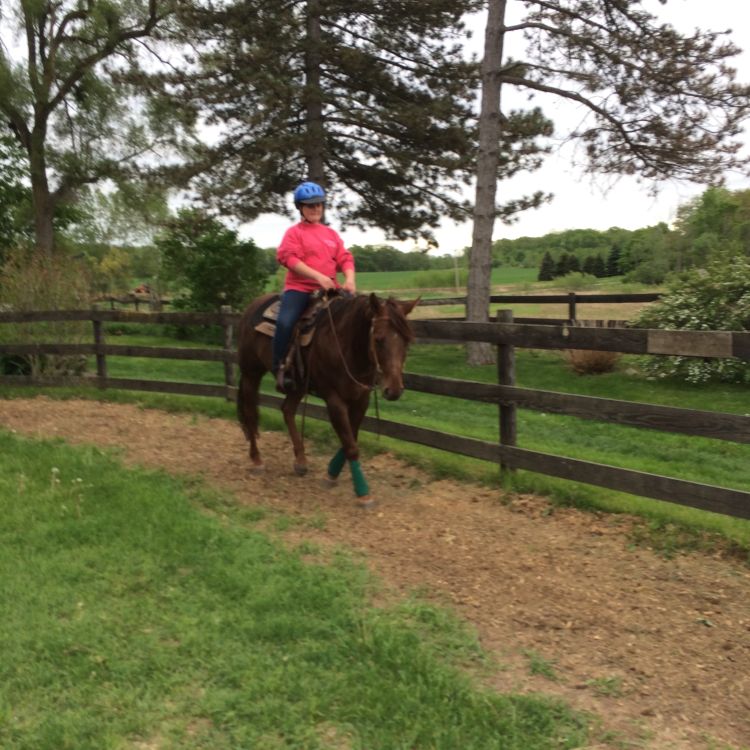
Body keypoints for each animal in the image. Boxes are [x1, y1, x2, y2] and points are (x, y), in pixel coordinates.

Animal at [238, 290, 420, 508]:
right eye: (378, 339)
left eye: (407, 341)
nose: (394, 391)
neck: (345, 344)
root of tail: (251, 307)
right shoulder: (334, 400)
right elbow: (351, 446)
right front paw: (363, 493)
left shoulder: (361, 400)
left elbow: (351, 438)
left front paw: (332, 473)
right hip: (251, 373)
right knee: (250, 412)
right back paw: (257, 460)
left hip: (298, 385)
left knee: (287, 410)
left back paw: (301, 461)